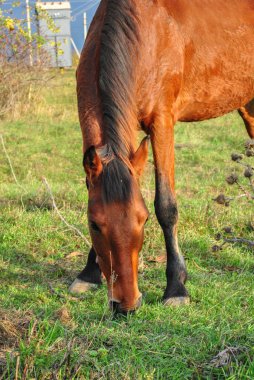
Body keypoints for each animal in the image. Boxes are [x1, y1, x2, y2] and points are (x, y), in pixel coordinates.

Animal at [70, 0, 254, 314]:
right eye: (94, 224)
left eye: (143, 220)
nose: (126, 305)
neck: (144, 35)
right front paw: (88, 274)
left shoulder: (162, 122)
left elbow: (166, 207)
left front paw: (177, 287)